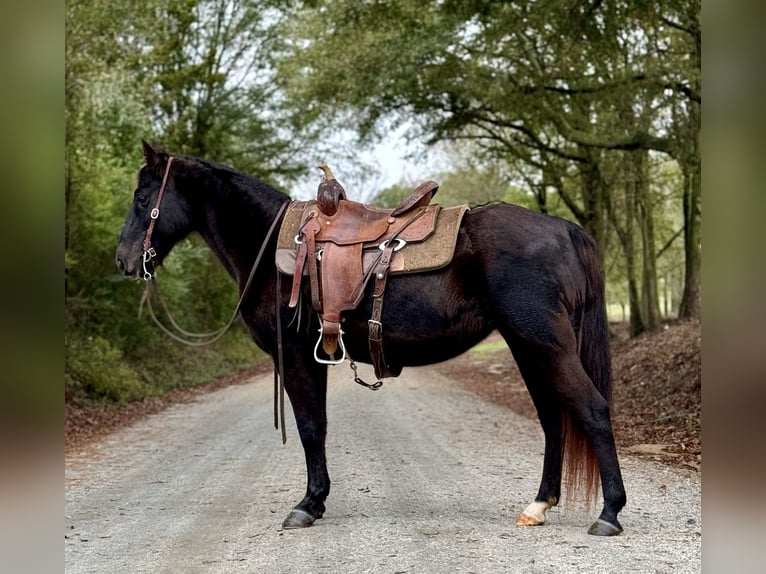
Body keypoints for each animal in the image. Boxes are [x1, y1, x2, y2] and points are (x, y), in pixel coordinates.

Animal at [115, 142, 632, 536]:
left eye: (142, 198)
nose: (123, 260)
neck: (271, 245)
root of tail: (564, 229)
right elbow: (318, 427)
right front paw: (316, 500)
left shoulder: (298, 357)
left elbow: (310, 427)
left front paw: (308, 504)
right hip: (529, 347)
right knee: (552, 421)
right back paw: (539, 505)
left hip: (545, 343)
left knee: (591, 410)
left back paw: (609, 514)